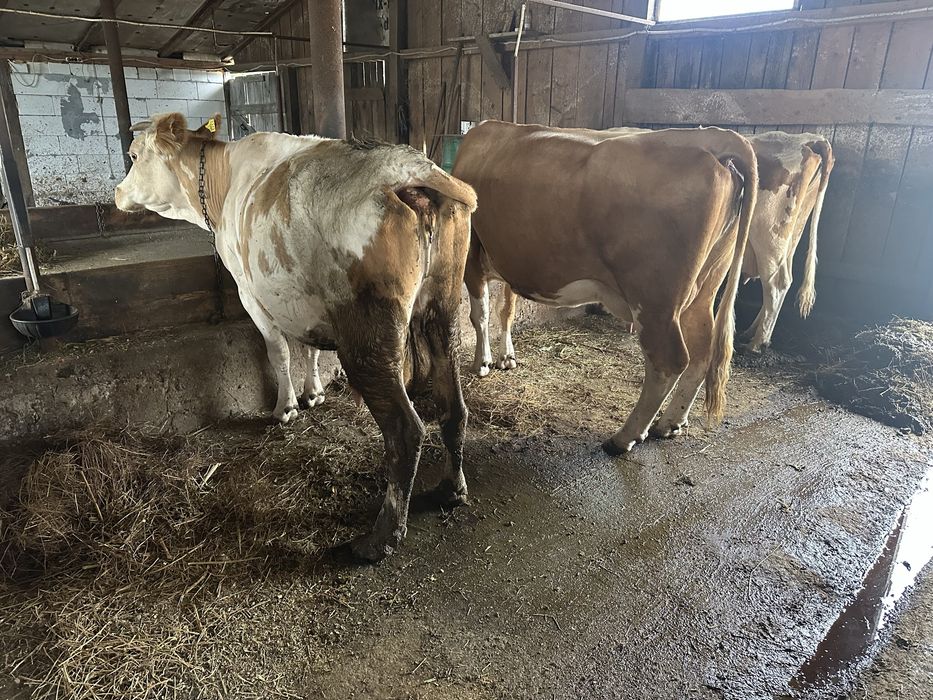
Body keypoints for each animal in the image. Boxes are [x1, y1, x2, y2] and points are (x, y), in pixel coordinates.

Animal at [114, 113, 477, 561]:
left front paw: (285, 407)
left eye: (133, 155)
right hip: (443, 310)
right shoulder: (299, 300)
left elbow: (279, 352)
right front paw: (314, 393)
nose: (117, 193)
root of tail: (412, 170)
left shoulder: (250, 293)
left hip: (368, 338)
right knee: (454, 407)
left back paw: (381, 538)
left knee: (406, 430)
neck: (223, 183)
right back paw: (450, 489)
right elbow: (307, 348)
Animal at [452, 121, 758, 455]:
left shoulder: (471, 255)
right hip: (703, 290)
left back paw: (625, 436)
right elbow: (506, 311)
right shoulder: (510, 260)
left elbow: (480, 315)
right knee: (702, 351)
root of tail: (712, 137)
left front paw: (482, 362)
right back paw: (671, 422)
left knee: (668, 360)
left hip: (655, 300)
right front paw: (506, 357)